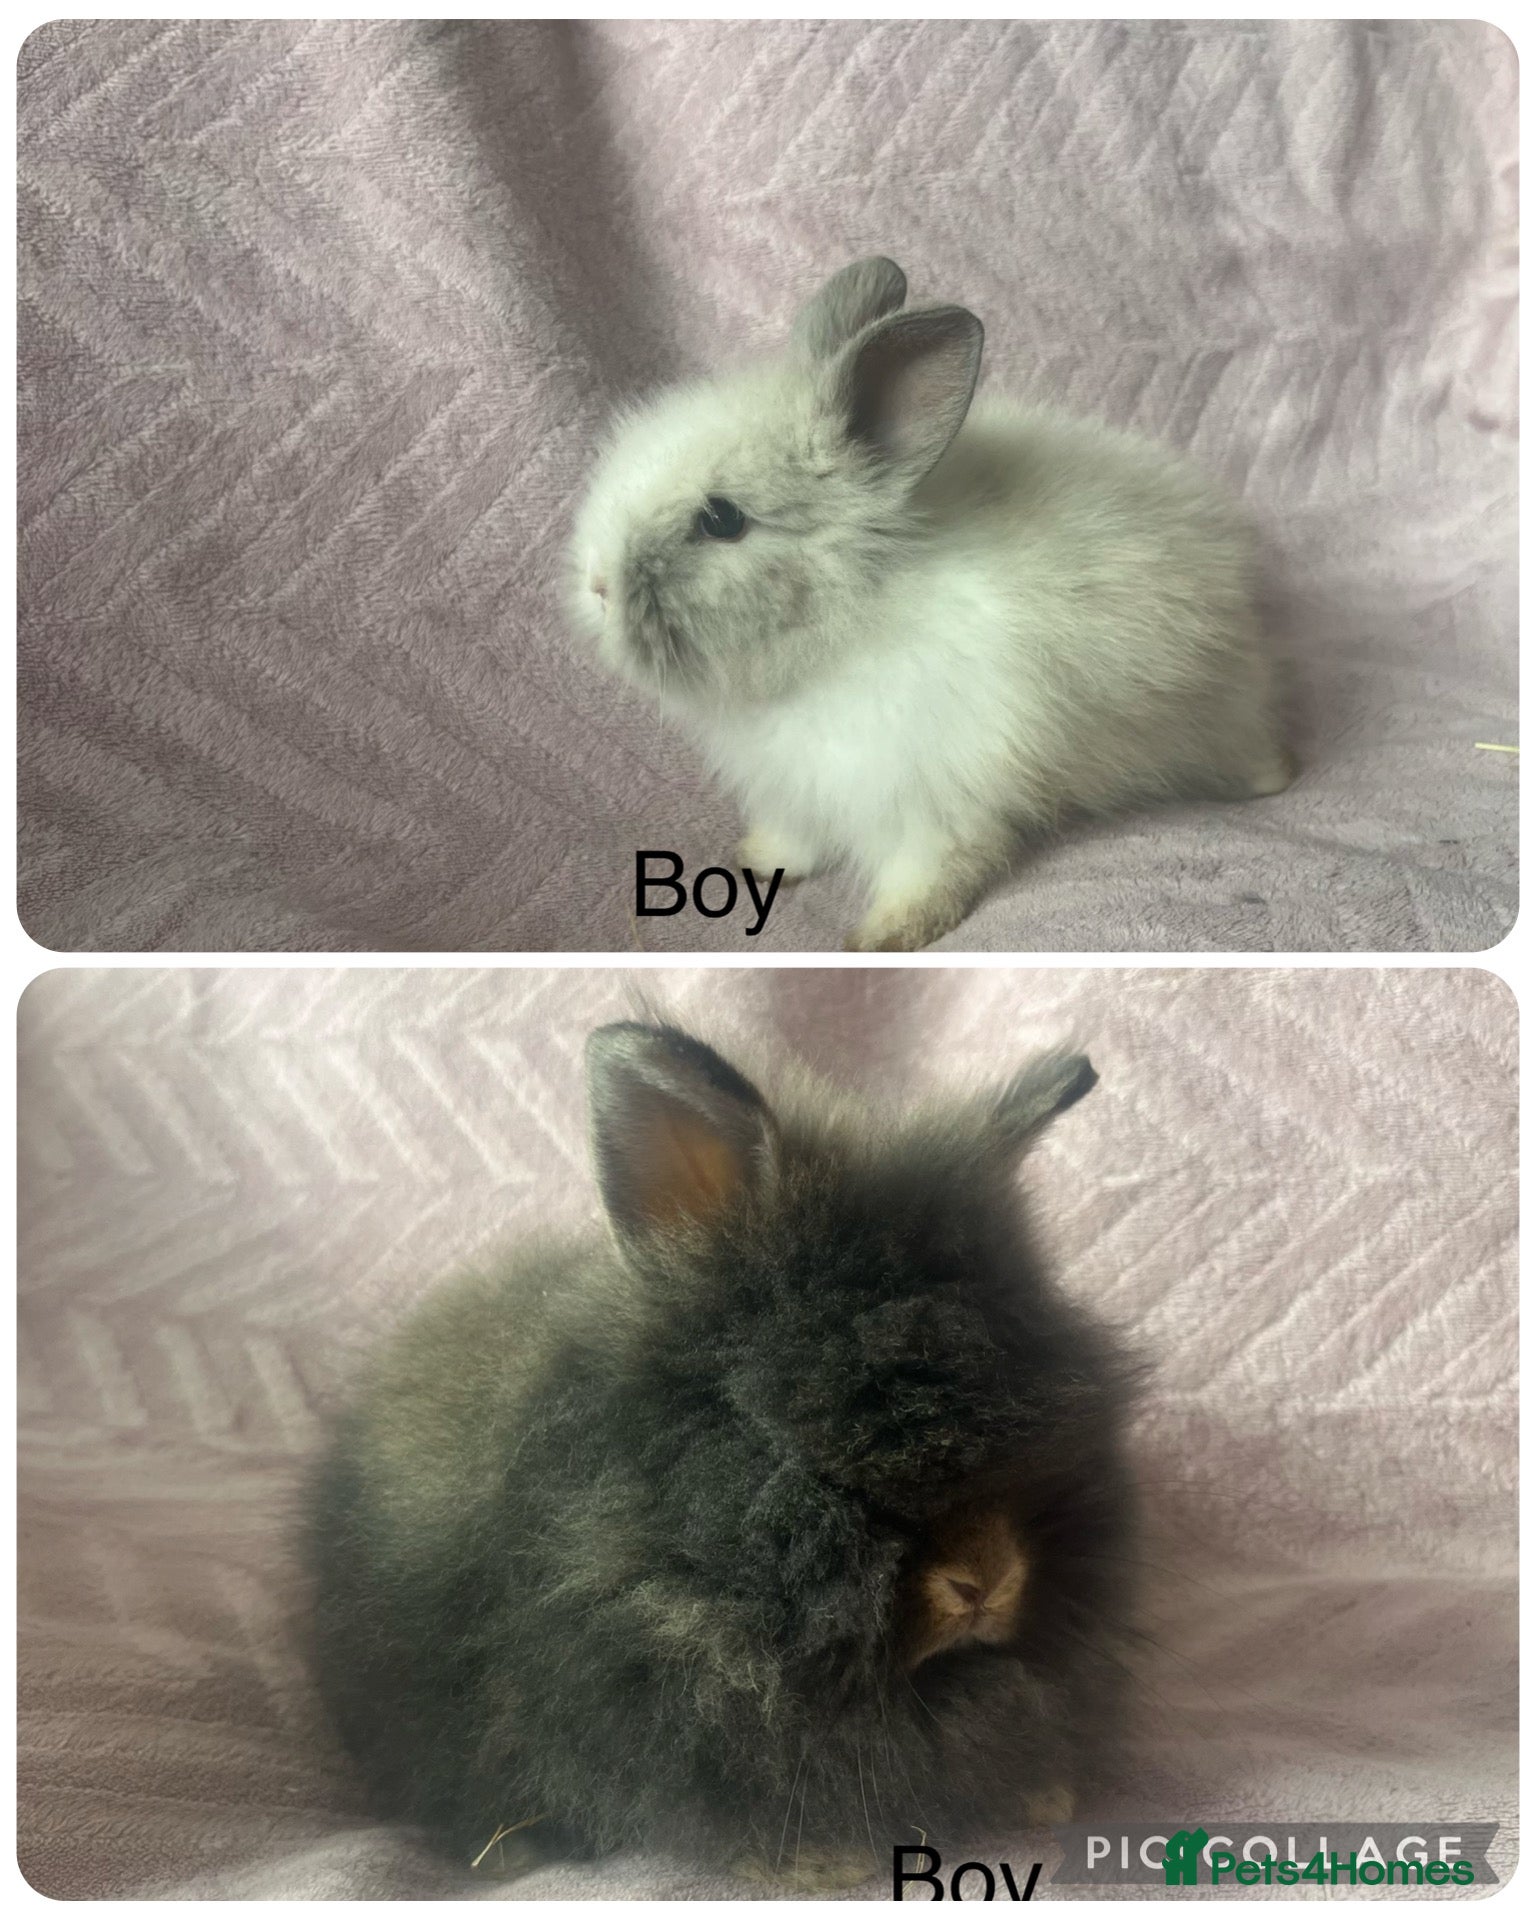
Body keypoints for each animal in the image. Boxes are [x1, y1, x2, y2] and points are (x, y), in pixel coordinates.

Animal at [568, 257, 1293, 950]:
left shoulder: (936, 794)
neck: (847, 625)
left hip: (1213, 712)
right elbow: (796, 839)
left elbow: (931, 871)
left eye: (721, 519)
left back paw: (1273, 782)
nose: (597, 587)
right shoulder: (798, 788)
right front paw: (757, 862)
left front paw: (884, 938)